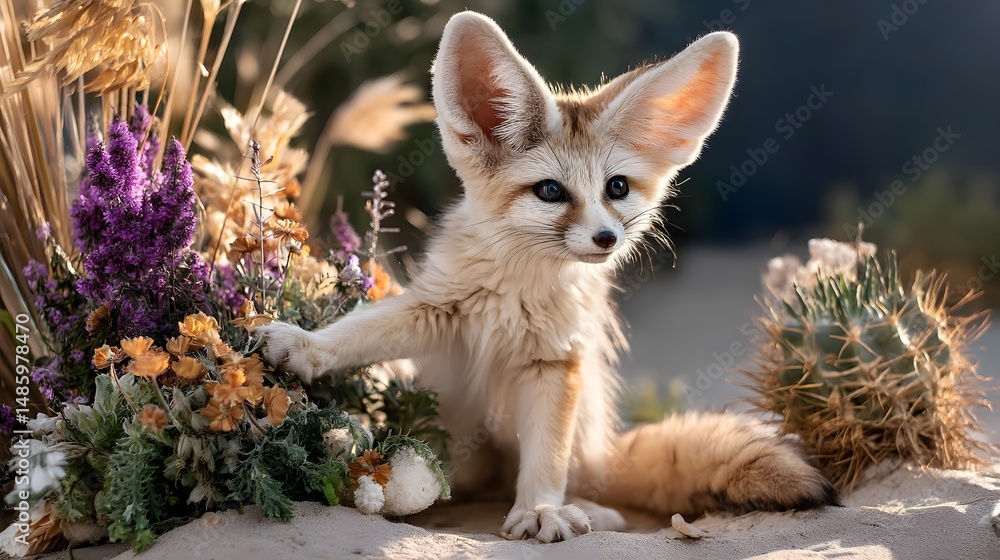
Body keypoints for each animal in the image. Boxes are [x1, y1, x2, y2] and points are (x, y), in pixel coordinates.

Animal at [256, 11, 838, 542]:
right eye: (551, 191)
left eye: (617, 187)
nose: (607, 238)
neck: (517, 290)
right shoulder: (437, 308)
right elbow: (359, 331)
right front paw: (305, 345)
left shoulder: (557, 362)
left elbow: (546, 459)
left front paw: (540, 509)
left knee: (581, 477)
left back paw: (589, 509)